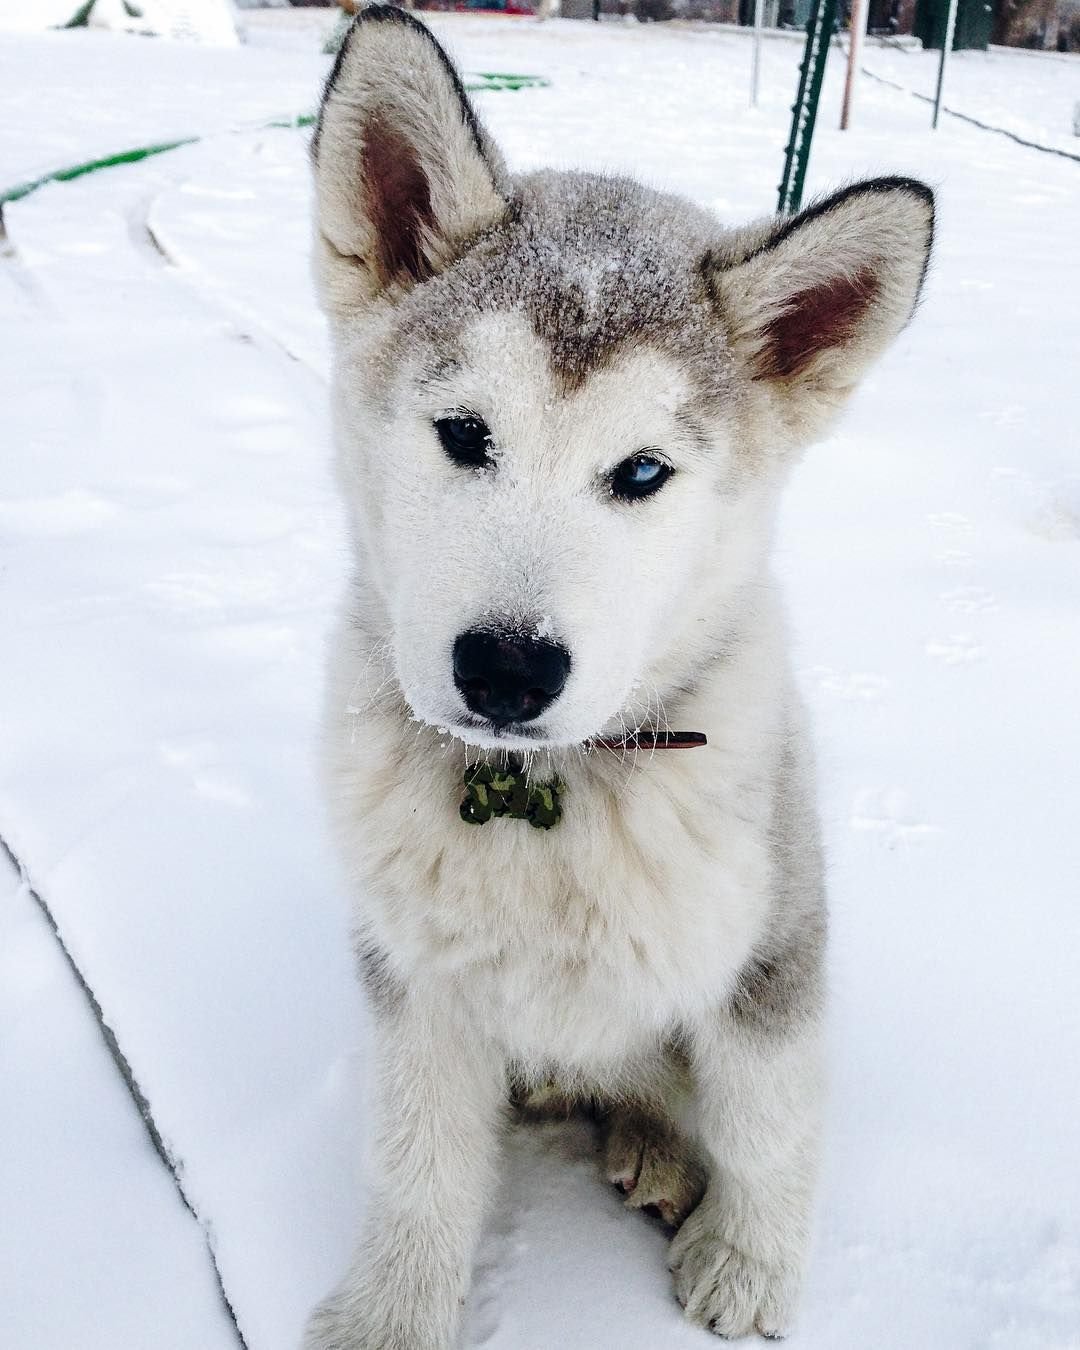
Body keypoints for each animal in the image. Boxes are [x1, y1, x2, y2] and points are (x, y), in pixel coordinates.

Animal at [301, 7, 928, 1339]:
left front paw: (749, 1264)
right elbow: (418, 1160)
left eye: (642, 473)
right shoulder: (417, 976)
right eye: (463, 434)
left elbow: (768, 1122)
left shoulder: (769, 947)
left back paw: (658, 1149)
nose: (506, 667)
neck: (546, 796)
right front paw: (393, 1312)